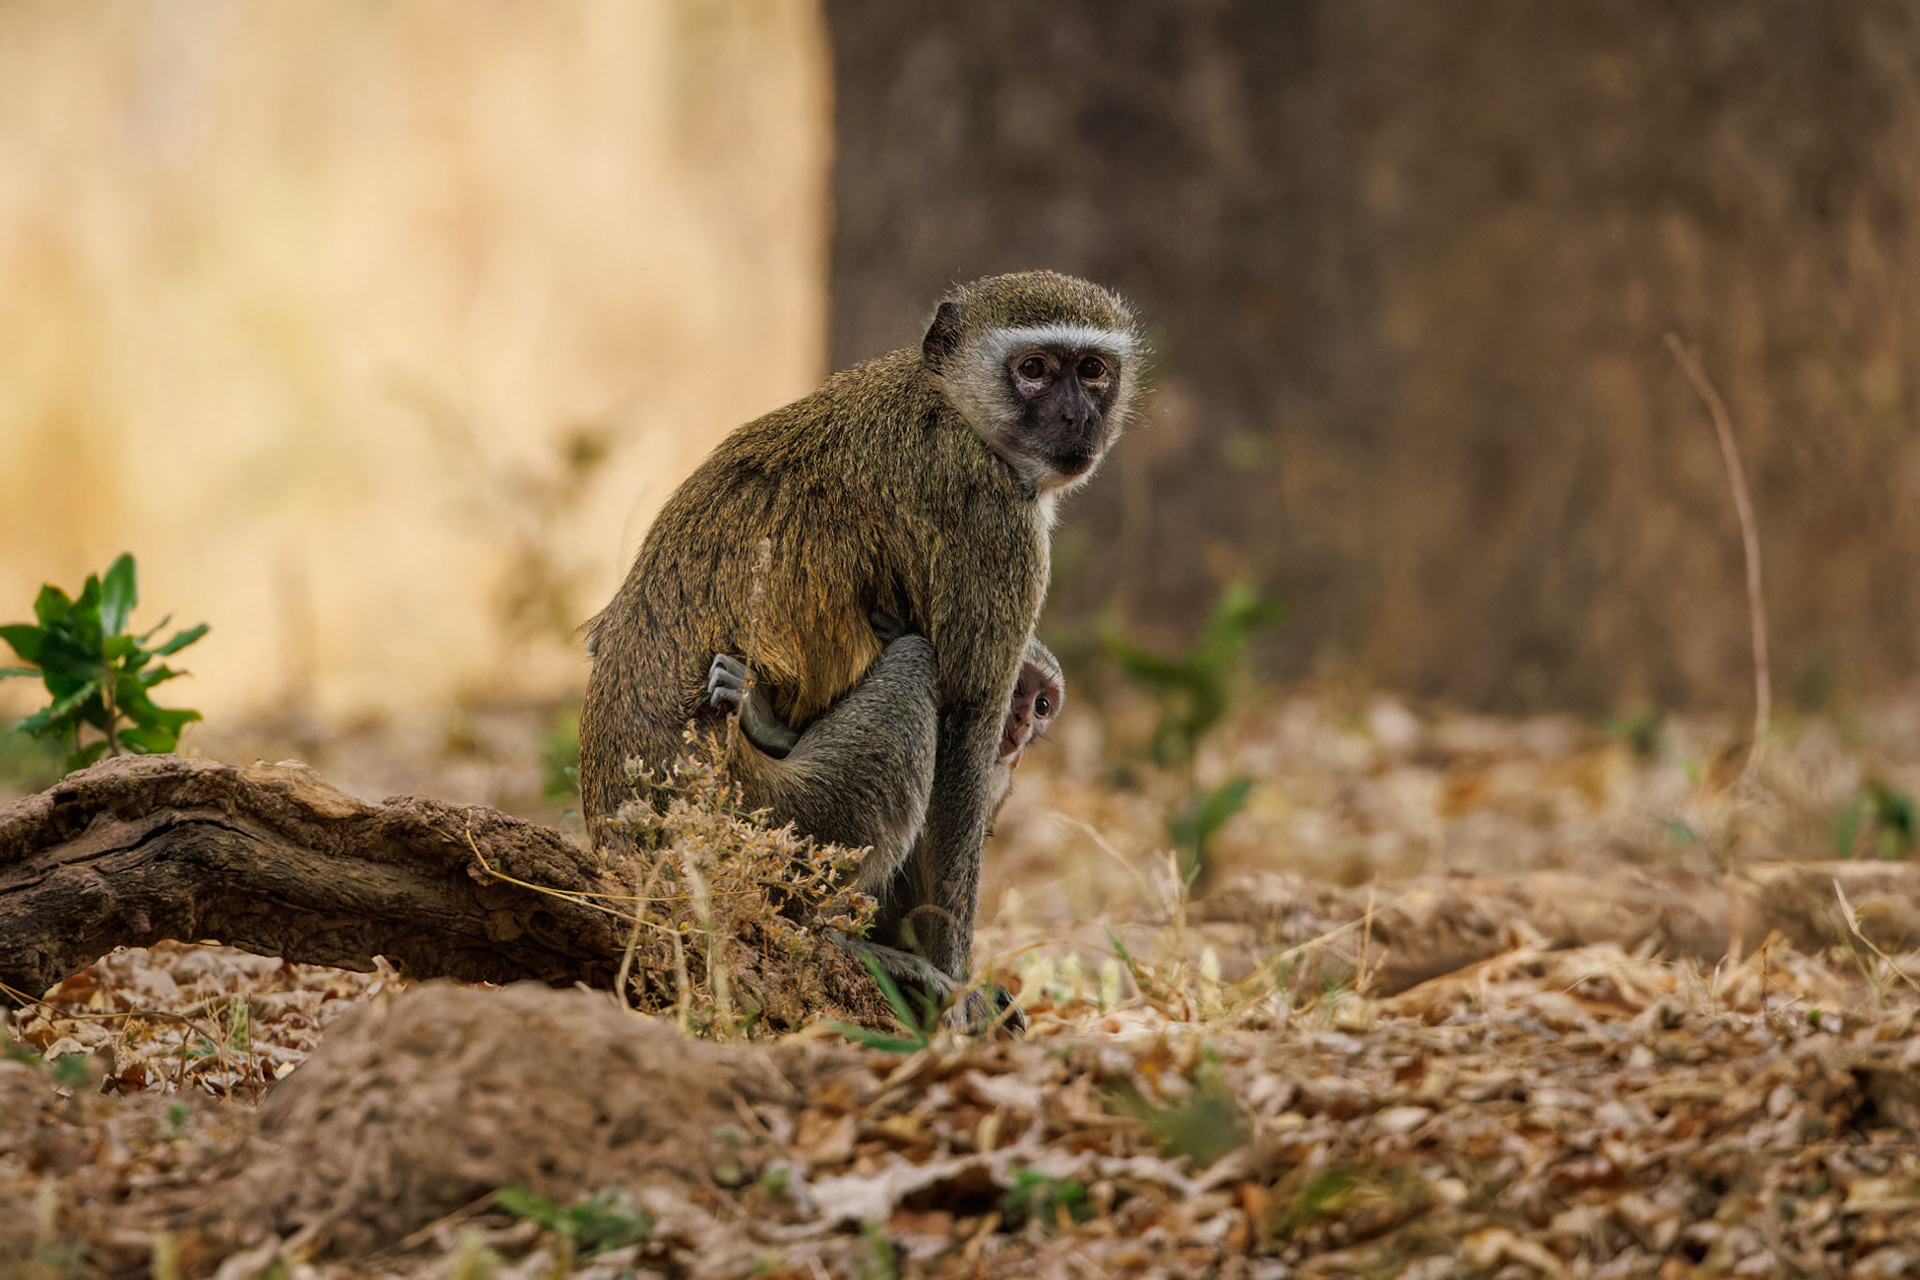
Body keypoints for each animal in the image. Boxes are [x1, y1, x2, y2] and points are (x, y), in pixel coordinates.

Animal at [579, 270, 1142, 1012]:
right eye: (1033, 370)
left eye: (1092, 371)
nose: (1079, 419)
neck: (950, 403)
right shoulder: (997, 524)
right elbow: (966, 734)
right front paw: (958, 982)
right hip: (791, 830)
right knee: (914, 672)